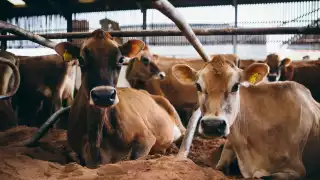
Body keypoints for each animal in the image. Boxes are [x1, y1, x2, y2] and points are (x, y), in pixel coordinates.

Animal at [52, 28, 185, 168]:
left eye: (121, 60)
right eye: (81, 60)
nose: (103, 96)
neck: (96, 143)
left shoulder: (146, 137)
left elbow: (133, 158)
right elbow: (71, 155)